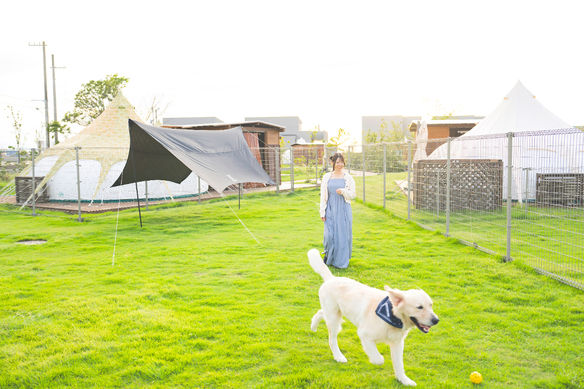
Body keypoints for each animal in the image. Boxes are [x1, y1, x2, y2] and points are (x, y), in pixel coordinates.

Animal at [310, 249, 438, 384]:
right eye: (419, 307)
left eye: (431, 305)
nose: (436, 320)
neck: (392, 316)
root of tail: (331, 279)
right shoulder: (364, 334)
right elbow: (379, 359)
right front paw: (373, 359)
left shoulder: (397, 343)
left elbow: (399, 365)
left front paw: (404, 380)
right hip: (334, 318)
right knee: (332, 339)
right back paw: (339, 356)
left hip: (334, 313)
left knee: (321, 313)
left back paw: (313, 326)